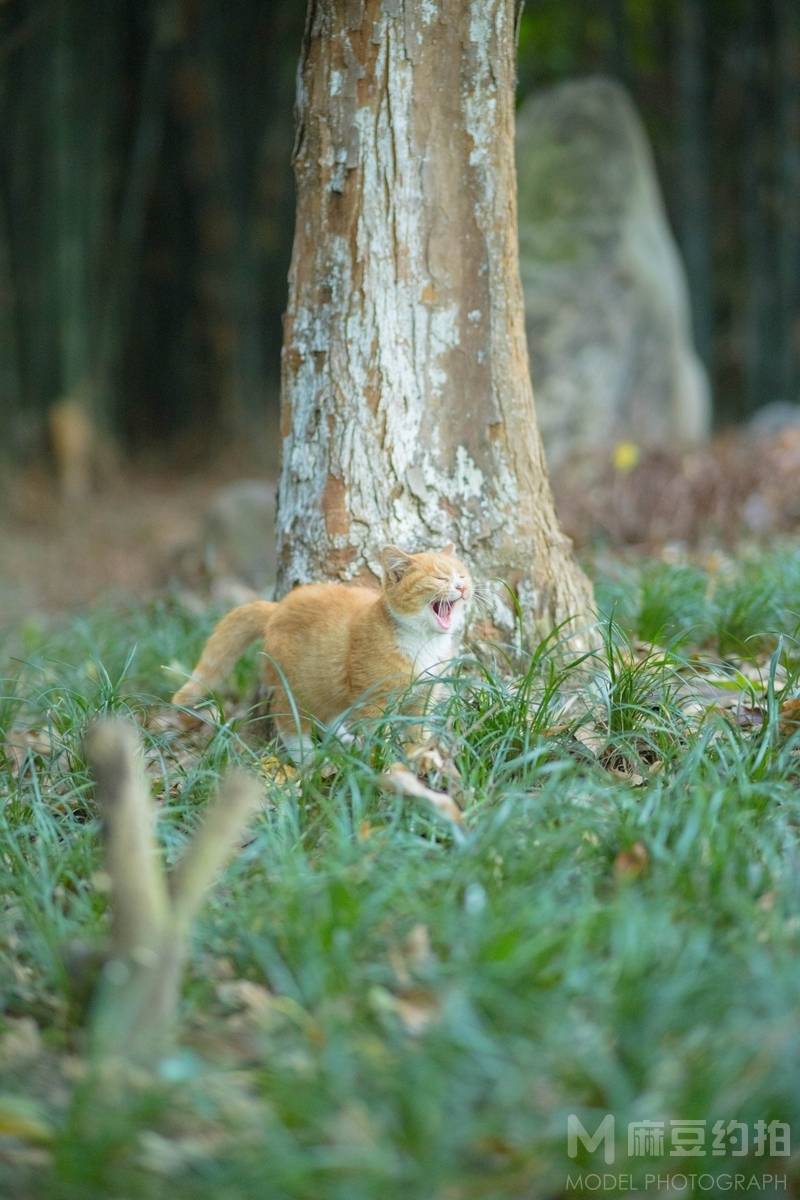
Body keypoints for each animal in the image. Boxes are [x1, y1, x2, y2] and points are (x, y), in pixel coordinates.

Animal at [172, 547, 472, 758]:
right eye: (440, 577)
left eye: (462, 575)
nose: (462, 587)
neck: (424, 643)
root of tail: (277, 608)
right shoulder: (375, 701)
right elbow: (377, 735)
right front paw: (381, 762)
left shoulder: (424, 695)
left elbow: (416, 730)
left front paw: (418, 756)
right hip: (297, 686)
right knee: (288, 720)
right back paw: (307, 759)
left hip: (327, 684)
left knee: (329, 716)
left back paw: (343, 740)